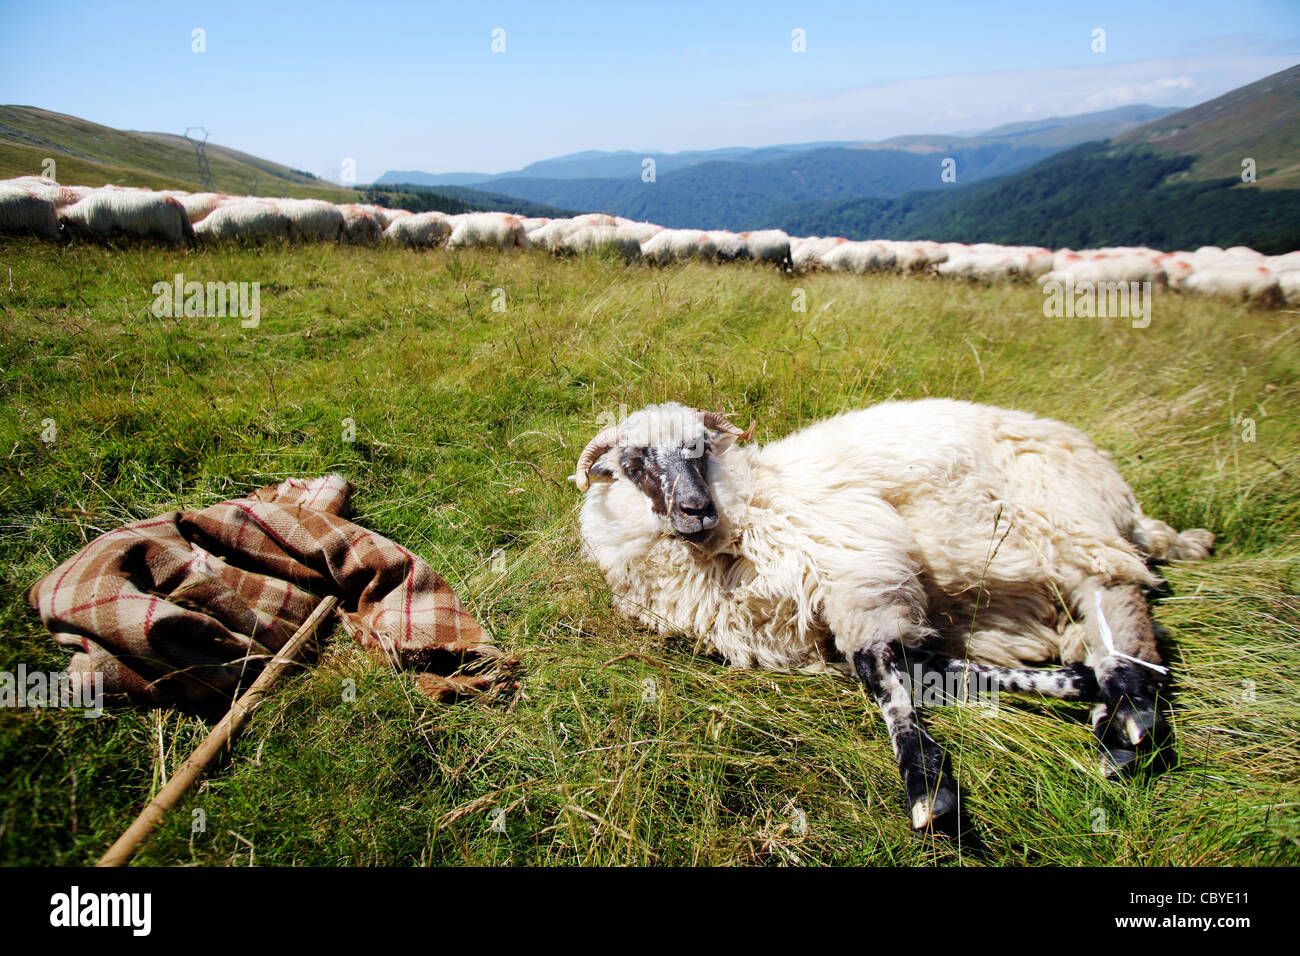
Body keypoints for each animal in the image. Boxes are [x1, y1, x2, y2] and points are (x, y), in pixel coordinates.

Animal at [572, 400, 1213, 829]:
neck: (749, 506)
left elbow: (880, 668)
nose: (696, 509)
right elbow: (926, 665)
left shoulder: (859, 566)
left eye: (701, 450)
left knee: (1118, 603)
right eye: (634, 462)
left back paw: (1131, 723)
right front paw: (1069, 683)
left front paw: (927, 787)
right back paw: (1108, 706)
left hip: (1064, 516)